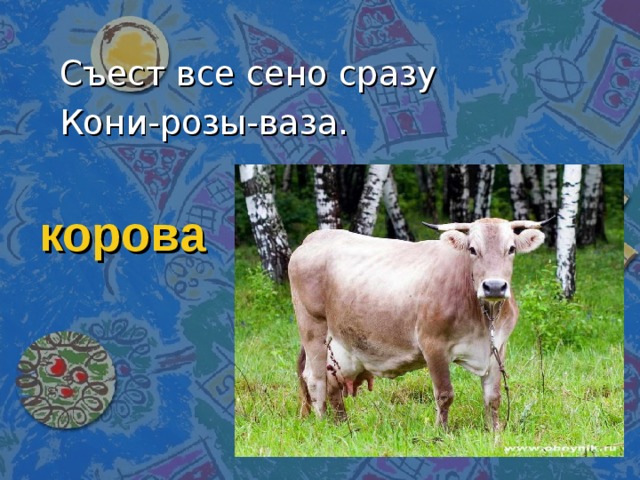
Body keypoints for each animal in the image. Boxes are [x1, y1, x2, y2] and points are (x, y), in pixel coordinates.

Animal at [289, 217, 549, 431]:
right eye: (473, 249)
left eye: (511, 248)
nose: (494, 286)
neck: (483, 317)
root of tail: (315, 237)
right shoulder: (433, 345)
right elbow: (445, 394)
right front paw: (442, 432)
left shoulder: (497, 348)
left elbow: (493, 397)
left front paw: (494, 431)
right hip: (313, 329)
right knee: (315, 378)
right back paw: (323, 423)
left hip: (342, 348)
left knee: (334, 383)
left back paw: (342, 424)